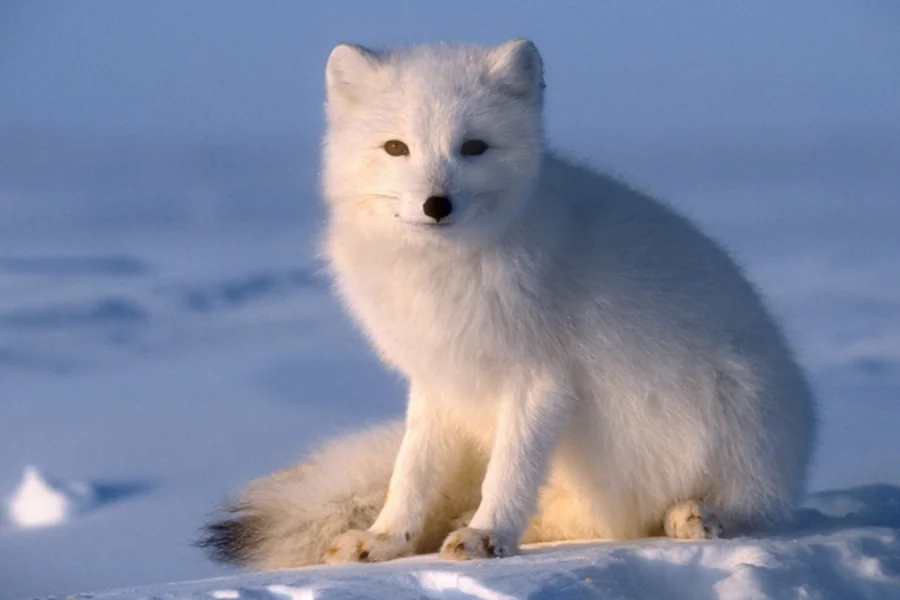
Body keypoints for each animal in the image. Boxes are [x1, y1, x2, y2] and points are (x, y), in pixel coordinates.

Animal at [200, 39, 816, 570]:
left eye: (473, 147)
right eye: (396, 147)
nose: (436, 204)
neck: (445, 275)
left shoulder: (540, 379)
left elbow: (510, 472)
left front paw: (486, 535)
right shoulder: (438, 380)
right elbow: (411, 473)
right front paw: (387, 540)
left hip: (741, 414)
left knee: (747, 510)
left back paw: (693, 516)